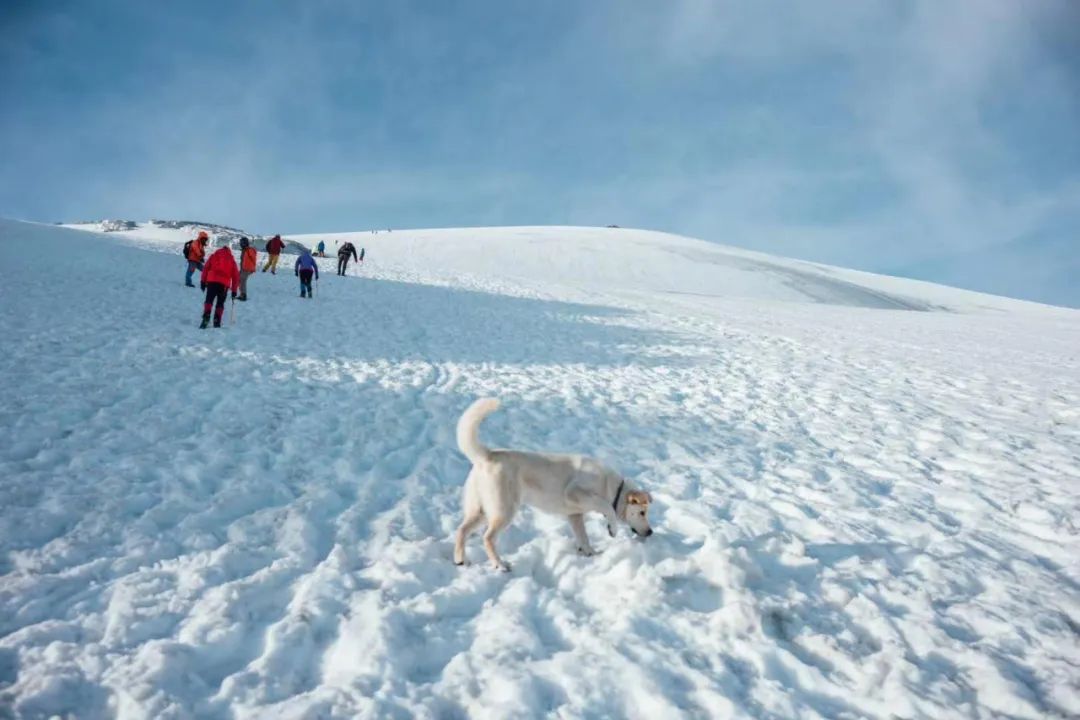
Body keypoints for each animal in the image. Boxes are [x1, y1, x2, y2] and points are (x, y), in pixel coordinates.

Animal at [451, 397, 652, 569]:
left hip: (481, 511)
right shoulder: (575, 492)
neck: (612, 488)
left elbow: (583, 537)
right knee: (488, 538)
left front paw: (590, 553)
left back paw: (461, 560)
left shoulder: (575, 515)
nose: (651, 532)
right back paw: (500, 565)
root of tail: (486, 455)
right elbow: (606, 506)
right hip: (504, 510)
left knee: (461, 530)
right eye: (642, 512)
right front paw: (612, 529)